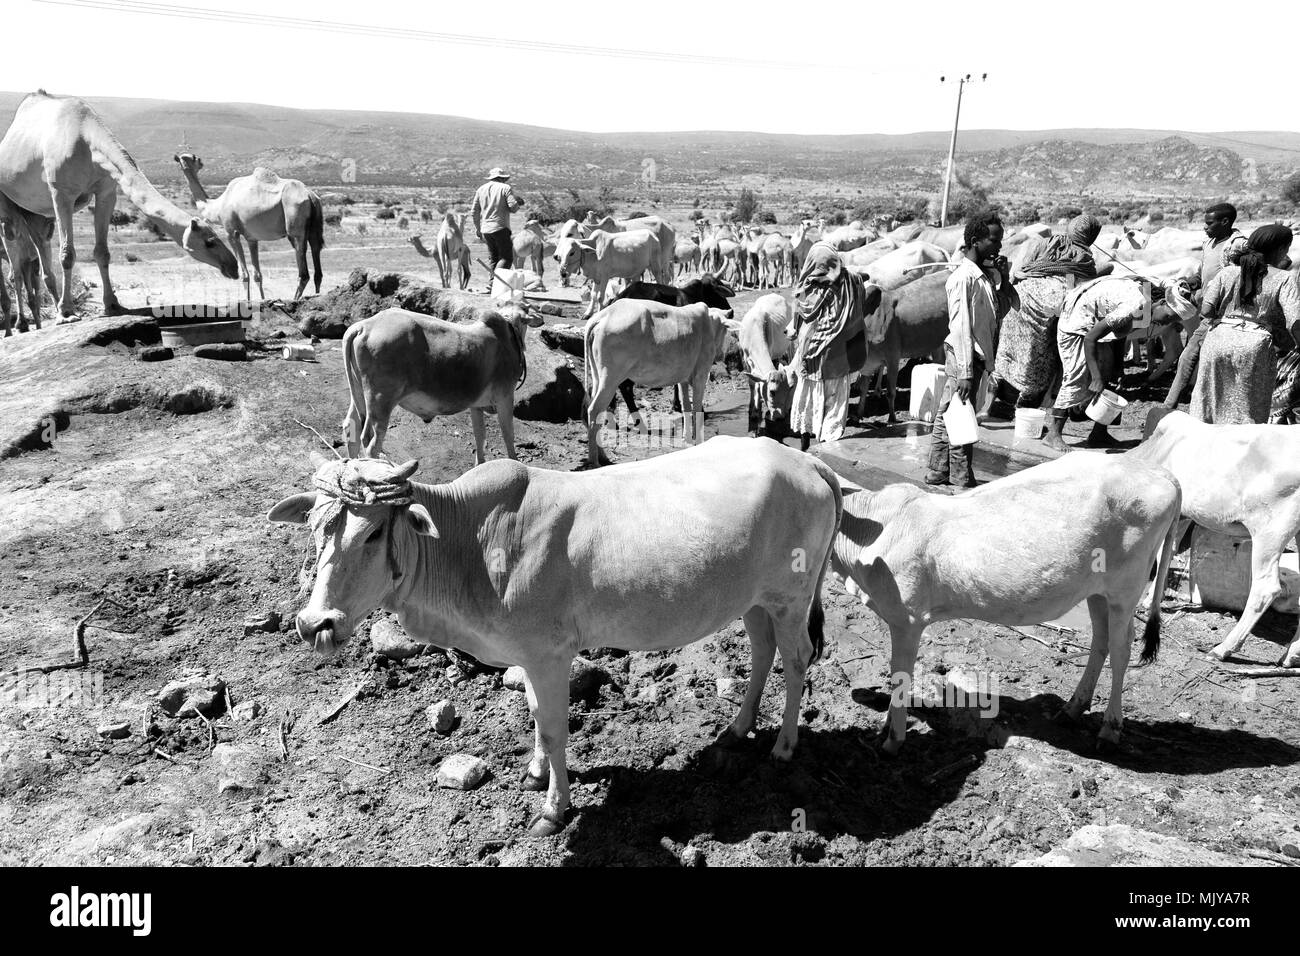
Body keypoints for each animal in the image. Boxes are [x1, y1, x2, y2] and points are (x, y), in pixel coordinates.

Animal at [0, 89, 237, 316]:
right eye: (209, 241)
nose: (233, 267)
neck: (86, 140)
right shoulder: (61, 192)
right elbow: (67, 254)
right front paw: (66, 312)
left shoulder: (107, 192)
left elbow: (102, 252)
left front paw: (113, 305)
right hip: (10, 207)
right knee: (15, 262)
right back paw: (26, 322)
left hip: (37, 214)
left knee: (39, 252)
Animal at [172, 151, 322, 299]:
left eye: (193, 157)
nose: (200, 161)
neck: (218, 205)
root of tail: (310, 195)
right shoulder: (252, 238)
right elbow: (257, 275)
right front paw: (262, 299)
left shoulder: (231, 232)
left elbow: (244, 275)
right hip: (315, 224)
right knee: (316, 252)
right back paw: (316, 294)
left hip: (294, 222)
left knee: (303, 269)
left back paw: (296, 298)